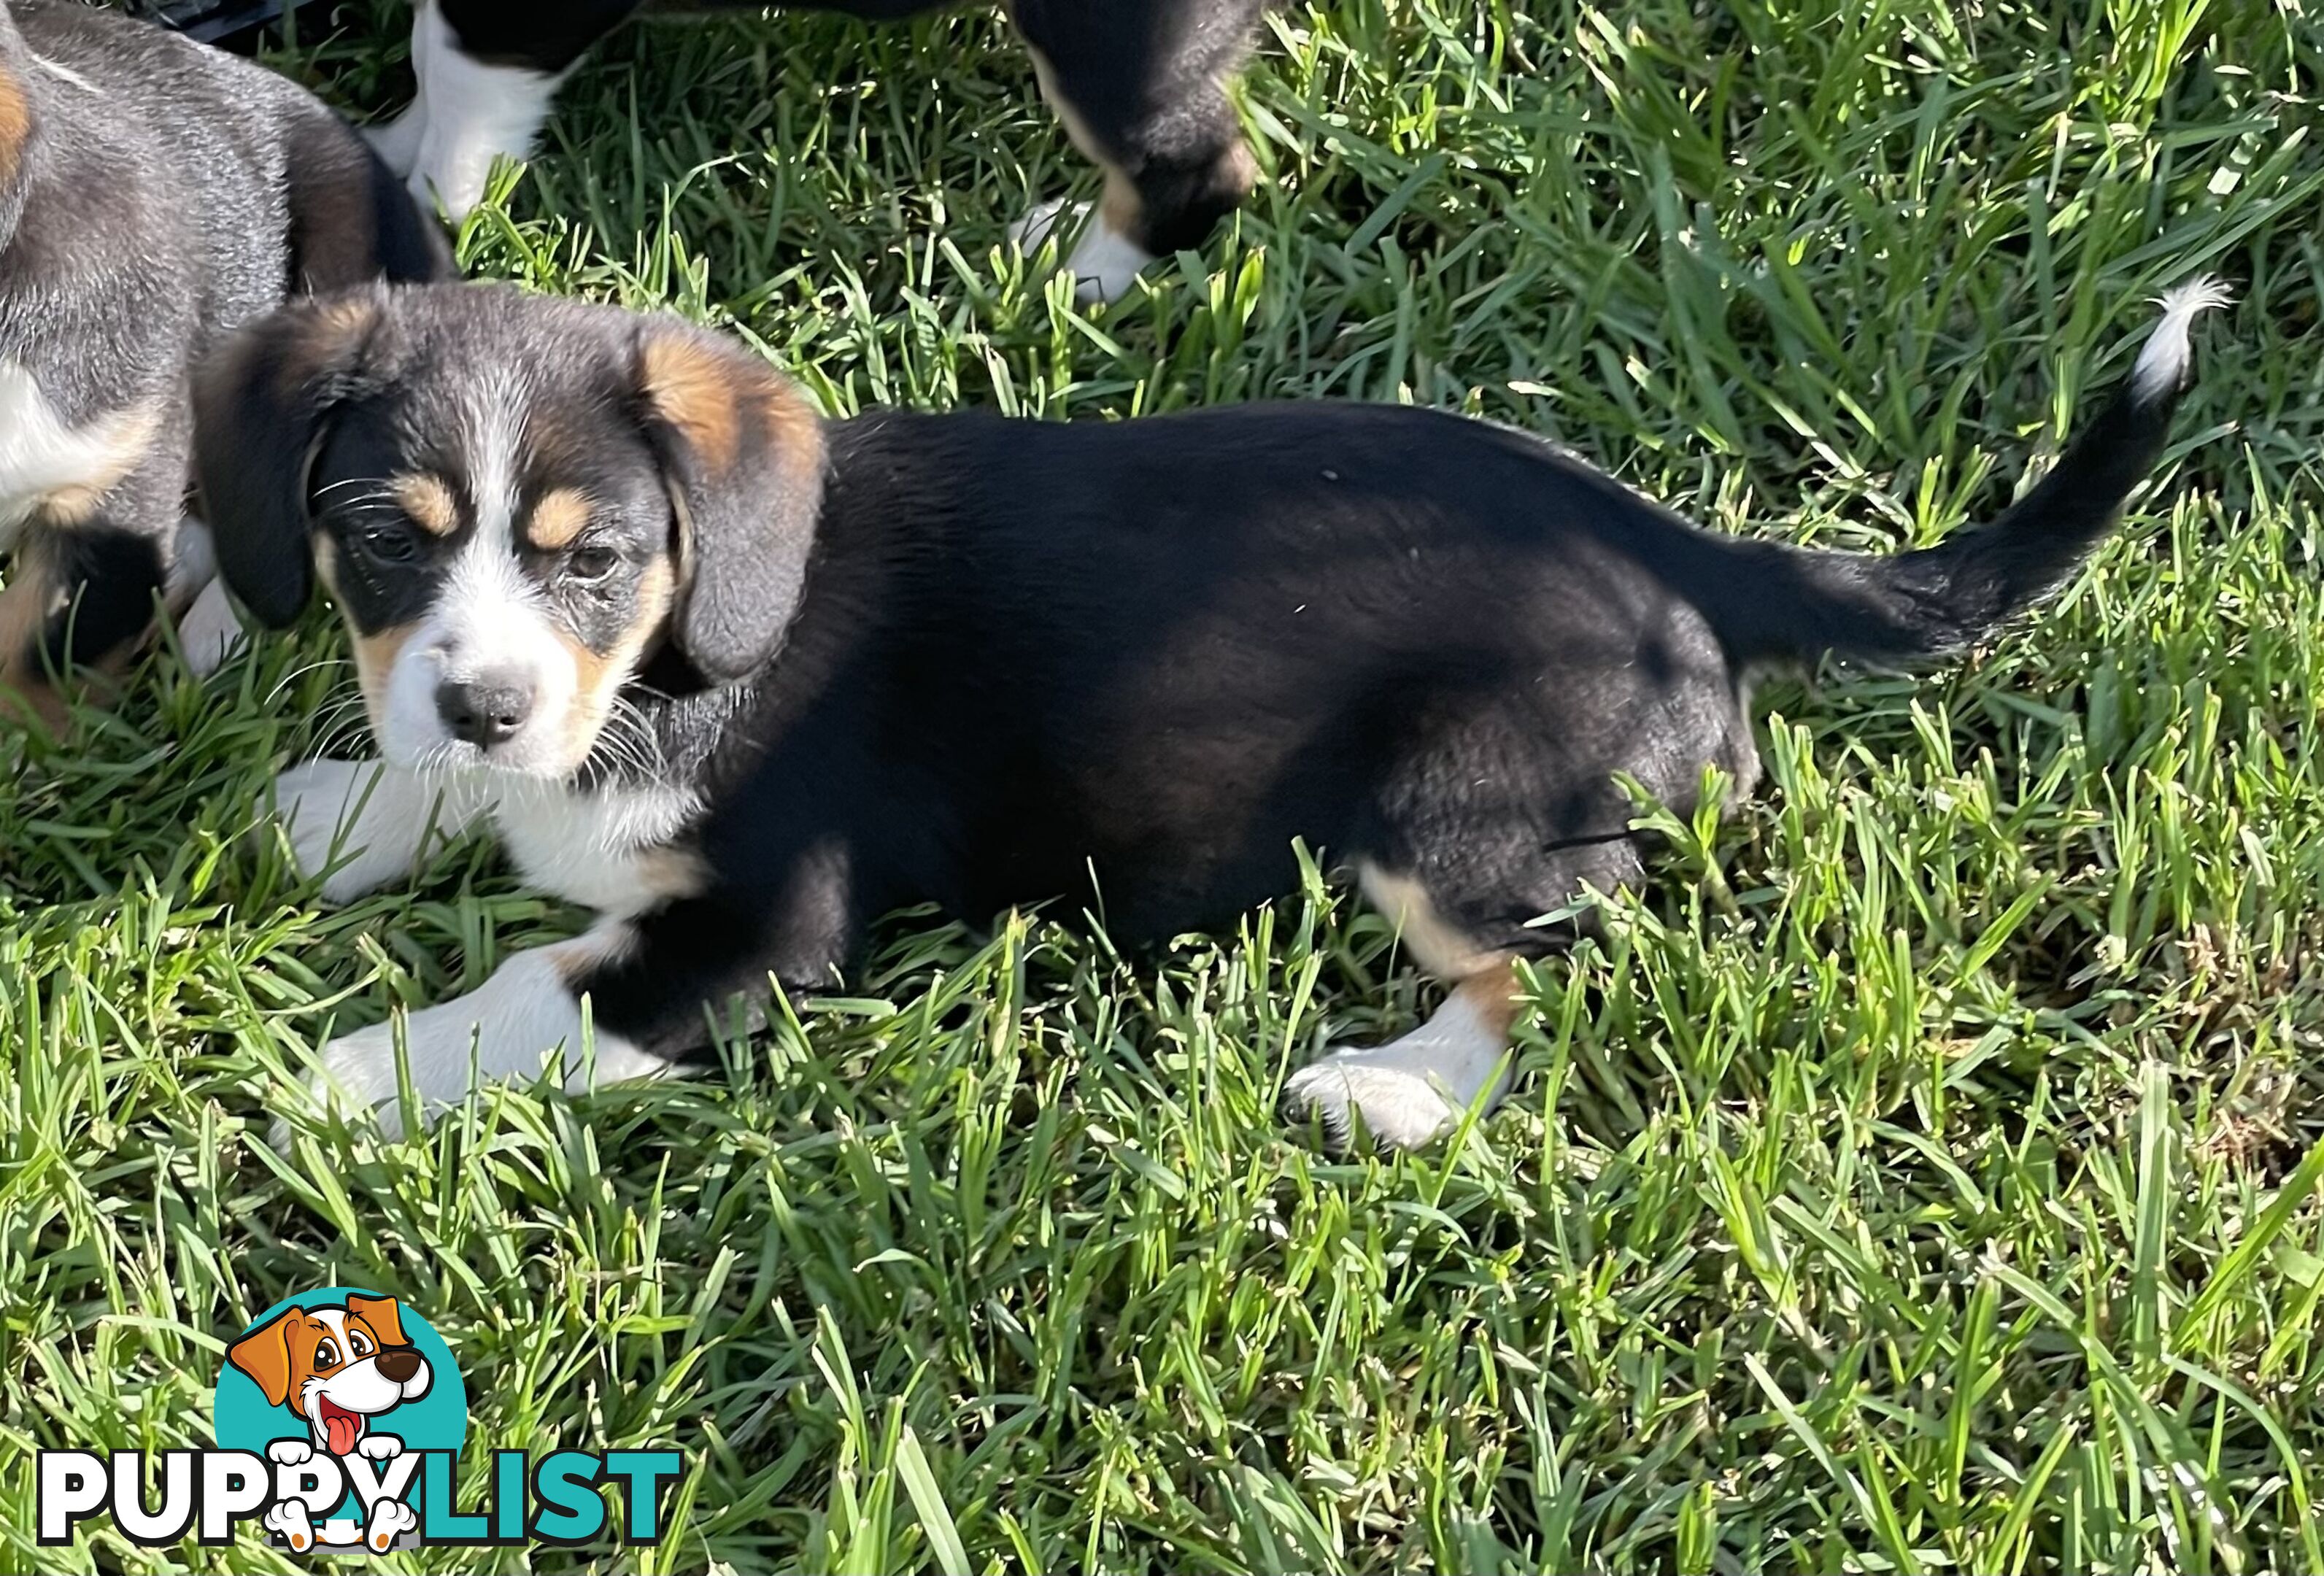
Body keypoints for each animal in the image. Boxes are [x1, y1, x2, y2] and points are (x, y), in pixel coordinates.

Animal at [199, 277, 2231, 1153]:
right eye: (385, 541)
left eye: (597, 558)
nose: (480, 701)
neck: (669, 669)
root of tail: (1682, 546)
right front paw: (346, 804)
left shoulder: (767, 926)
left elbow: (547, 985)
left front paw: (354, 1075)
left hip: (1448, 812)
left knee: (1570, 963)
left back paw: (1389, 1091)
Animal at [367, 0, 1273, 302]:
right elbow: (425, 63)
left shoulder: (510, 14)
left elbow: (458, 92)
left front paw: (426, 213)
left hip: (1106, 41)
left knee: (1194, 170)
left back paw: (1073, 277)